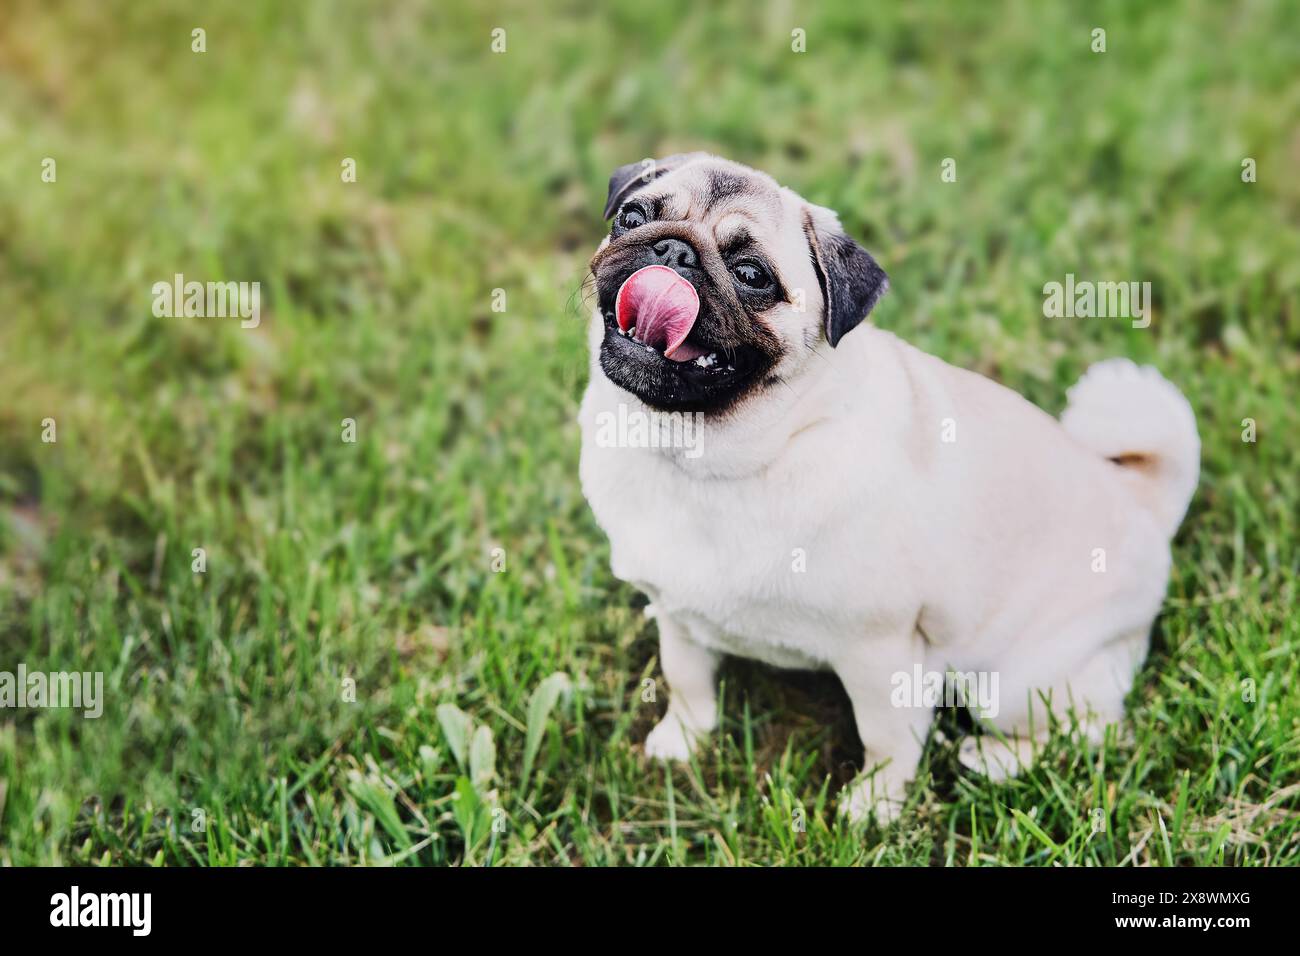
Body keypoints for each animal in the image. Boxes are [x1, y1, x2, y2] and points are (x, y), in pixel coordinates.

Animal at [579, 151, 1196, 822]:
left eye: (751, 275)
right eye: (632, 217)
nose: (671, 250)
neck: (705, 458)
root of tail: (1142, 500)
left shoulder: (878, 650)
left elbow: (886, 735)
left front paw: (874, 806)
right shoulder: (675, 613)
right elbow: (686, 678)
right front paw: (683, 739)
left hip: (1015, 681)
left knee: (1093, 728)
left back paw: (996, 759)